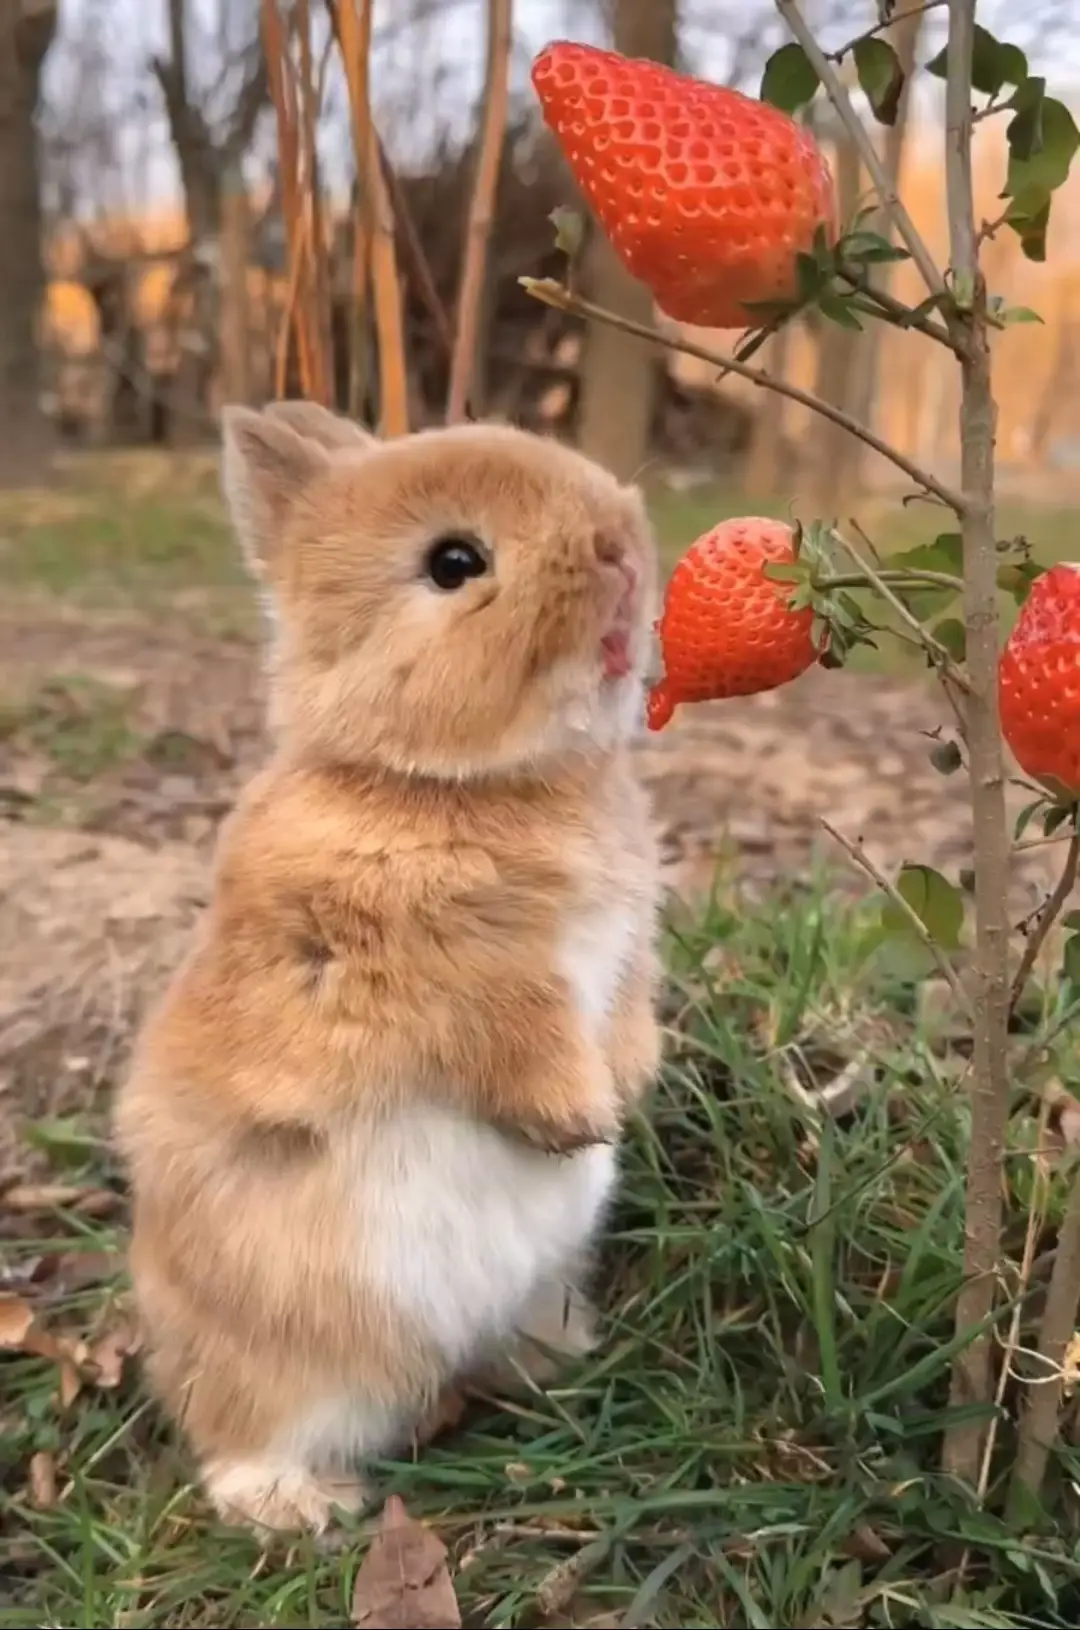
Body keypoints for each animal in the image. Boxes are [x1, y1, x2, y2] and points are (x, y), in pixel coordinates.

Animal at [114, 400, 664, 1532]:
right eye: (455, 563)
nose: (621, 551)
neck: (454, 780)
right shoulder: (442, 976)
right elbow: (516, 1038)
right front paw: (581, 1119)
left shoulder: (629, 948)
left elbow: (627, 1015)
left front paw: (628, 1089)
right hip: (289, 1352)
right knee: (244, 1431)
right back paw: (299, 1507)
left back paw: (558, 1364)